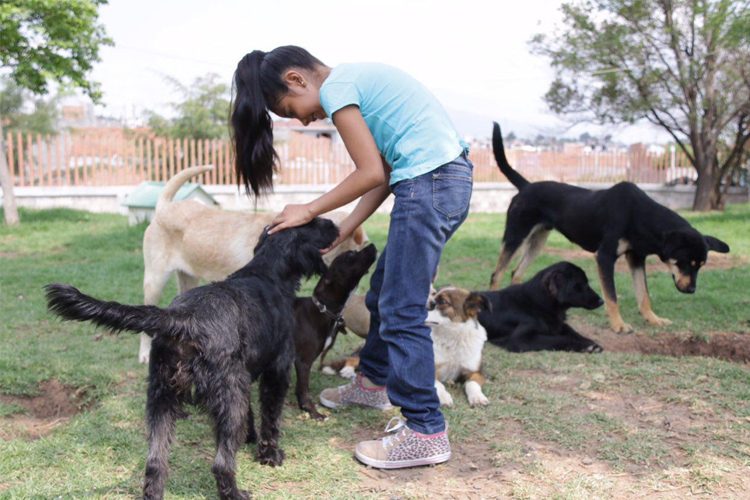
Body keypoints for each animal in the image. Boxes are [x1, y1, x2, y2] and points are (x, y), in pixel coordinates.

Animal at [45, 218, 340, 500]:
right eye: (315, 223)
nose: (334, 224)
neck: (267, 272)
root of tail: (182, 318)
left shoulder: (243, 377)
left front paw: (249, 437)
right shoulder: (276, 371)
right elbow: (271, 417)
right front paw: (270, 454)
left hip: (162, 399)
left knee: (155, 463)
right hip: (225, 397)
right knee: (220, 464)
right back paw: (235, 493)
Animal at [292, 241, 376, 418]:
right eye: (351, 255)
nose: (372, 245)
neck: (322, 310)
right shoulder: (303, 361)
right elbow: (304, 389)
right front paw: (313, 412)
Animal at [490, 122, 732, 332]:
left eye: (701, 265)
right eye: (686, 262)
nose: (691, 290)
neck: (642, 216)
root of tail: (526, 186)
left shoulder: (636, 257)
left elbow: (644, 294)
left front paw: (653, 319)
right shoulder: (605, 257)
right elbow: (612, 296)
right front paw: (619, 325)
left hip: (537, 242)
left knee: (516, 274)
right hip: (516, 236)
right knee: (496, 274)